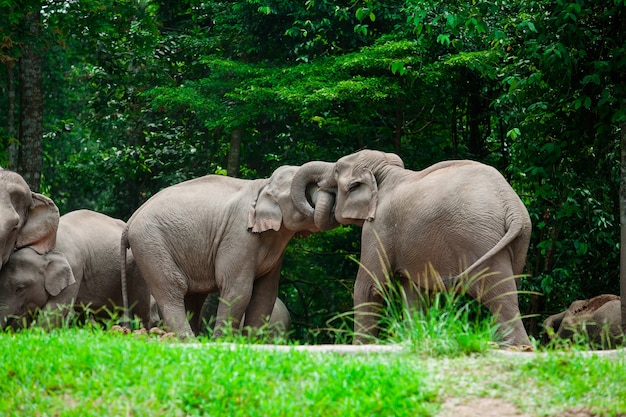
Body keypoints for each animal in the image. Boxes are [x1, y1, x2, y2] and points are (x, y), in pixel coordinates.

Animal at [120, 164, 332, 336]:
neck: (263, 184)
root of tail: (130, 220)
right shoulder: (239, 236)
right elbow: (237, 289)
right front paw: (223, 342)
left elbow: (265, 293)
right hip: (150, 244)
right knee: (173, 289)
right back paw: (188, 340)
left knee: (192, 298)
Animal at [292, 150, 532, 344]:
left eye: (337, 169)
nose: (319, 189)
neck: (385, 172)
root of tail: (511, 206)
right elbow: (413, 291)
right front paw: (413, 338)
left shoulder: (377, 227)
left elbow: (369, 287)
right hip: (519, 240)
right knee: (509, 285)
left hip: (477, 237)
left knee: (495, 289)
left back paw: (515, 347)